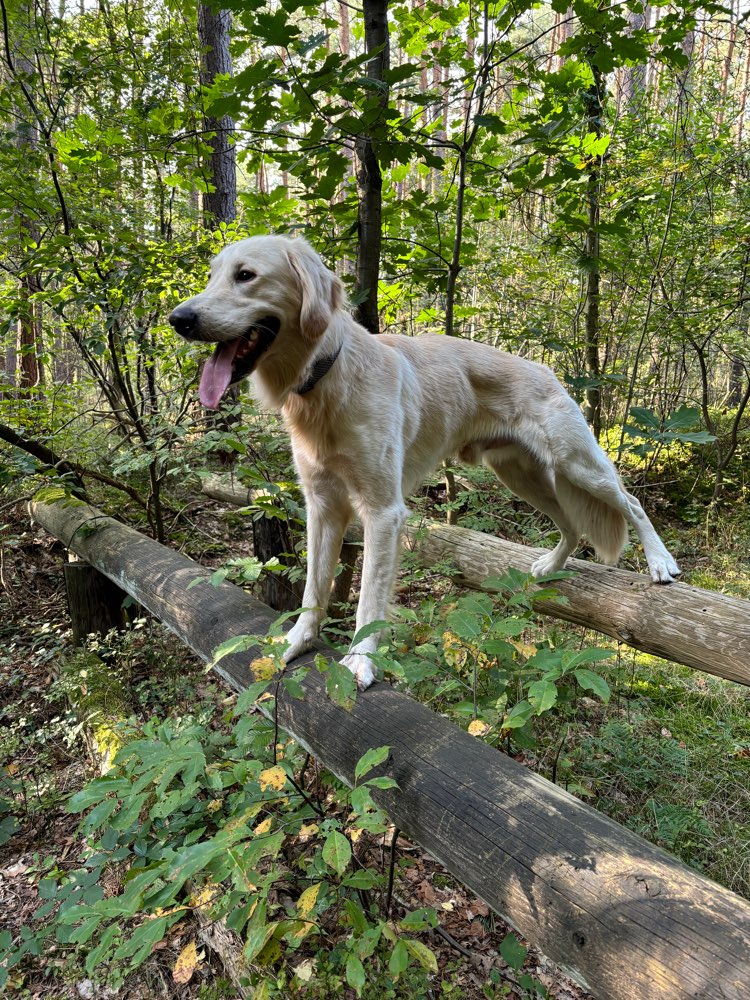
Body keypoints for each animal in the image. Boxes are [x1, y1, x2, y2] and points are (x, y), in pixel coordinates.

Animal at [170, 234, 680, 688]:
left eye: (246, 276)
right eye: (212, 276)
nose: (179, 319)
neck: (326, 375)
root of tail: (543, 368)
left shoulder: (383, 512)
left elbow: (369, 598)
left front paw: (361, 659)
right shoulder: (322, 506)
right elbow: (314, 588)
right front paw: (298, 641)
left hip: (576, 463)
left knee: (631, 502)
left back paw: (660, 562)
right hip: (518, 474)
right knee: (572, 524)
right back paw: (552, 566)